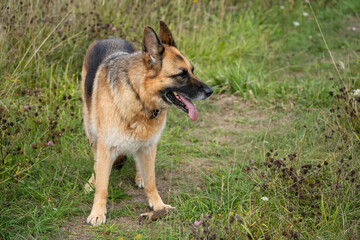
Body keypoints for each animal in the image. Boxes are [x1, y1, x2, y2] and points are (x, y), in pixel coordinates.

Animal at [80, 20, 212, 225]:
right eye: (181, 74)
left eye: (192, 71)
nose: (210, 91)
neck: (139, 97)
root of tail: (110, 38)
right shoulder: (106, 146)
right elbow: (102, 186)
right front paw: (97, 212)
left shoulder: (149, 146)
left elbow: (151, 182)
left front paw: (158, 206)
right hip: (91, 130)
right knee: (96, 162)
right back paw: (91, 182)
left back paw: (139, 175)